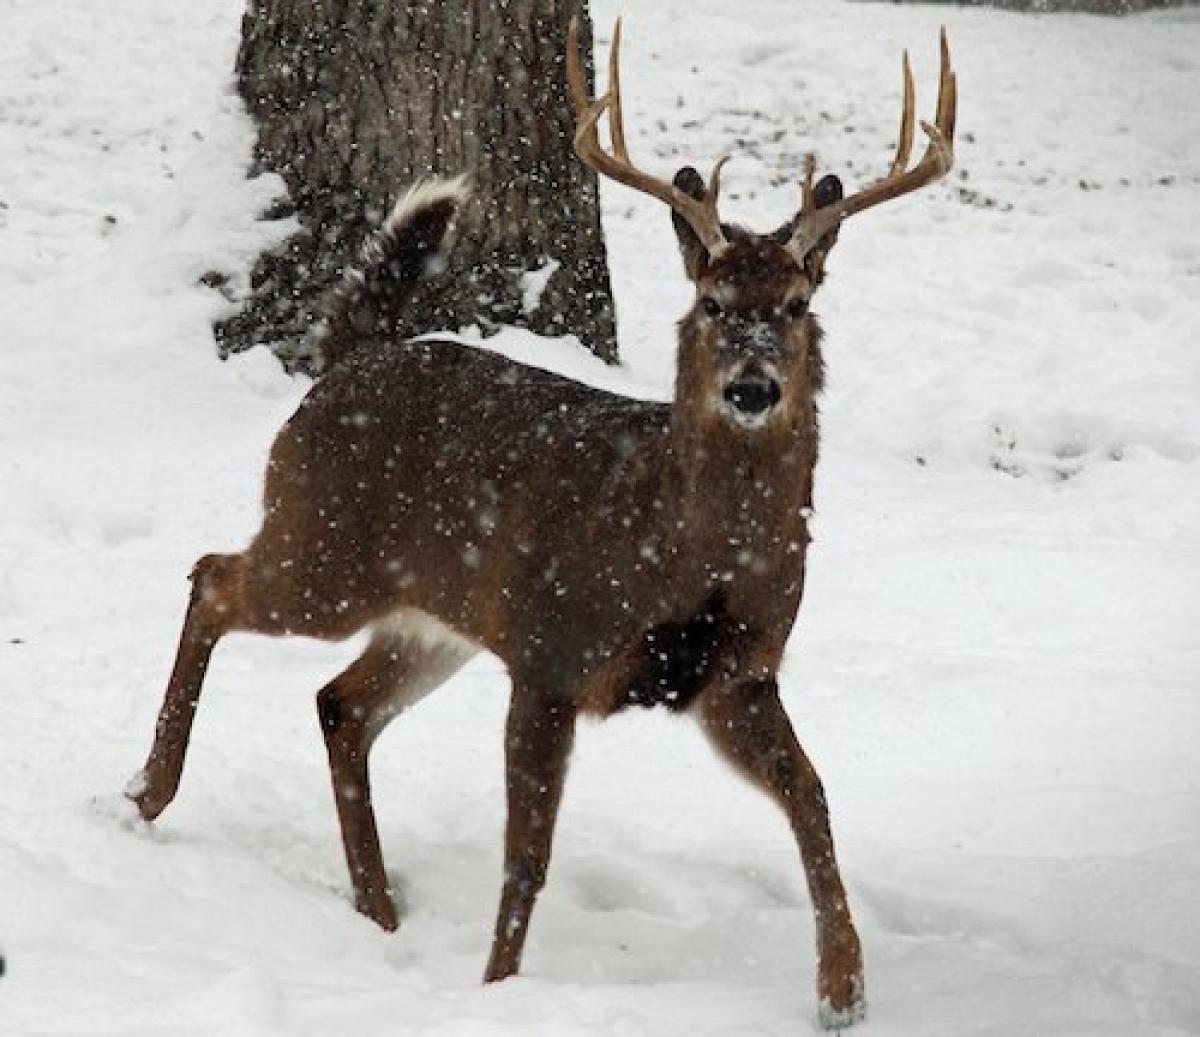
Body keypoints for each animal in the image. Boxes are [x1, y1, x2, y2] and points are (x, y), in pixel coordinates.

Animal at [126, 16, 955, 1027]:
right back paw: (149, 792)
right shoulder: (552, 649)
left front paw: (844, 988)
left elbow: (814, 795)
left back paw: (380, 908)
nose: (753, 387)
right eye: (711, 302)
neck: (678, 550)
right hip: (323, 548)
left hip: (435, 616)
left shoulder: (738, 674)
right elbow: (528, 854)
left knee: (339, 703)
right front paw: (497, 988)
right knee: (212, 575)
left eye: (798, 306)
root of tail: (347, 359)